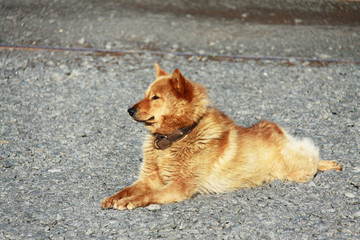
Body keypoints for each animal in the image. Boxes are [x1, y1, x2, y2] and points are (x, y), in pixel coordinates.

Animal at [102, 63, 344, 210]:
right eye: (145, 95)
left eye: (155, 97)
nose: (129, 110)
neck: (178, 136)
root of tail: (277, 132)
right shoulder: (148, 179)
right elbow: (127, 189)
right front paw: (114, 198)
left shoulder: (180, 187)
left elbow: (145, 195)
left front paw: (130, 202)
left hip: (296, 170)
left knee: (314, 158)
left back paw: (329, 164)